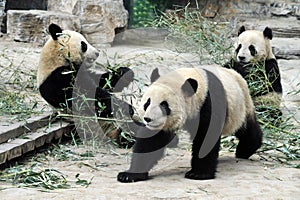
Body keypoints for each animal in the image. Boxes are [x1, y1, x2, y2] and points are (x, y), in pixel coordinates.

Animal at [117, 67, 262, 183]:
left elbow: (206, 139)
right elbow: (152, 142)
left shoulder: (208, 104)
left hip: (240, 106)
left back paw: (245, 149)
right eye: (147, 102)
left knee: (246, 128)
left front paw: (198, 174)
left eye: (164, 105)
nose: (148, 119)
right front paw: (130, 175)